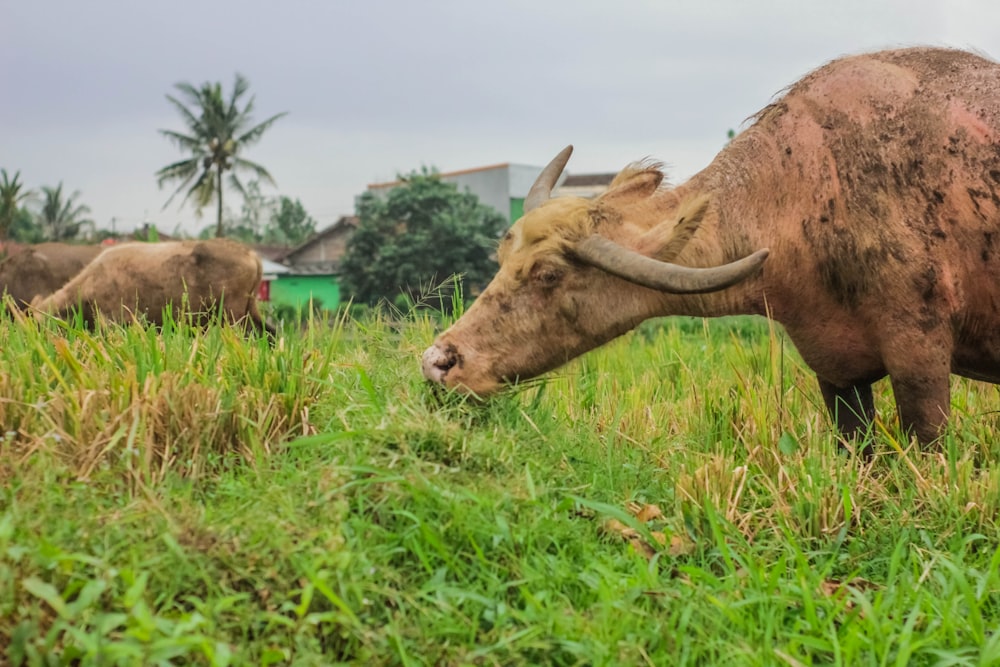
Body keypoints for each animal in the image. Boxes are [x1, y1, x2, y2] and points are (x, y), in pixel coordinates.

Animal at [422, 48, 1000, 448]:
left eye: (548, 274)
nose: (438, 362)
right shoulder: (836, 370)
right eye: (502, 260)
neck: (811, 185)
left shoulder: (919, 358)